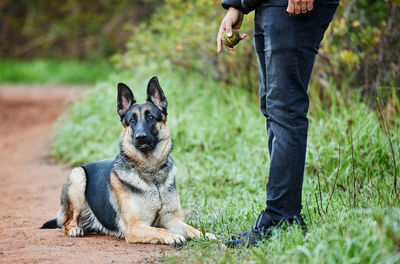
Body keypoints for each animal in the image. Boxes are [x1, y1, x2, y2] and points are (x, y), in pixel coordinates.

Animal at [42, 77, 214, 246]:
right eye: (132, 121)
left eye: (151, 117)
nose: (140, 137)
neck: (151, 174)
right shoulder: (135, 227)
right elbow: (160, 230)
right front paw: (173, 236)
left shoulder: (172, 219)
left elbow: (190, 228)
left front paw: (204, 234)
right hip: (78, 176)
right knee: (67, 222)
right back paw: (74, 229)